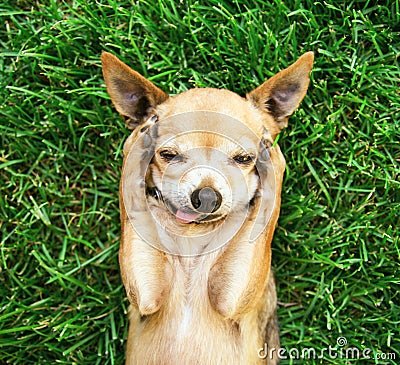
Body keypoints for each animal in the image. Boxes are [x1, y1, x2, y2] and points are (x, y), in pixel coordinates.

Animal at [101, 52, 314, 364]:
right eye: (168, 155)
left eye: (244, 158)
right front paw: (142, 134)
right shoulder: (145, 295)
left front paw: (270, 151)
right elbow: (131, 192)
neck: (193, 235)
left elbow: (266, 209)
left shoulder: (232, 298)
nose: (207, 196)